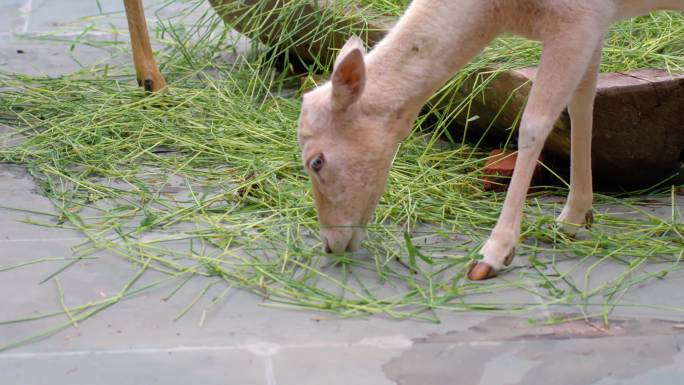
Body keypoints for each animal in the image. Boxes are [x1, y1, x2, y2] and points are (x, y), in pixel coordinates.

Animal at [298, 1, 684, 280]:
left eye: (316, 161)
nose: (330, 245)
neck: (499, 12)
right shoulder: (592, 26)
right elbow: (580, 105)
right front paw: (573, 219)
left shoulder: (577, 18)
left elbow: (534, 124)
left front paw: (493, 256)